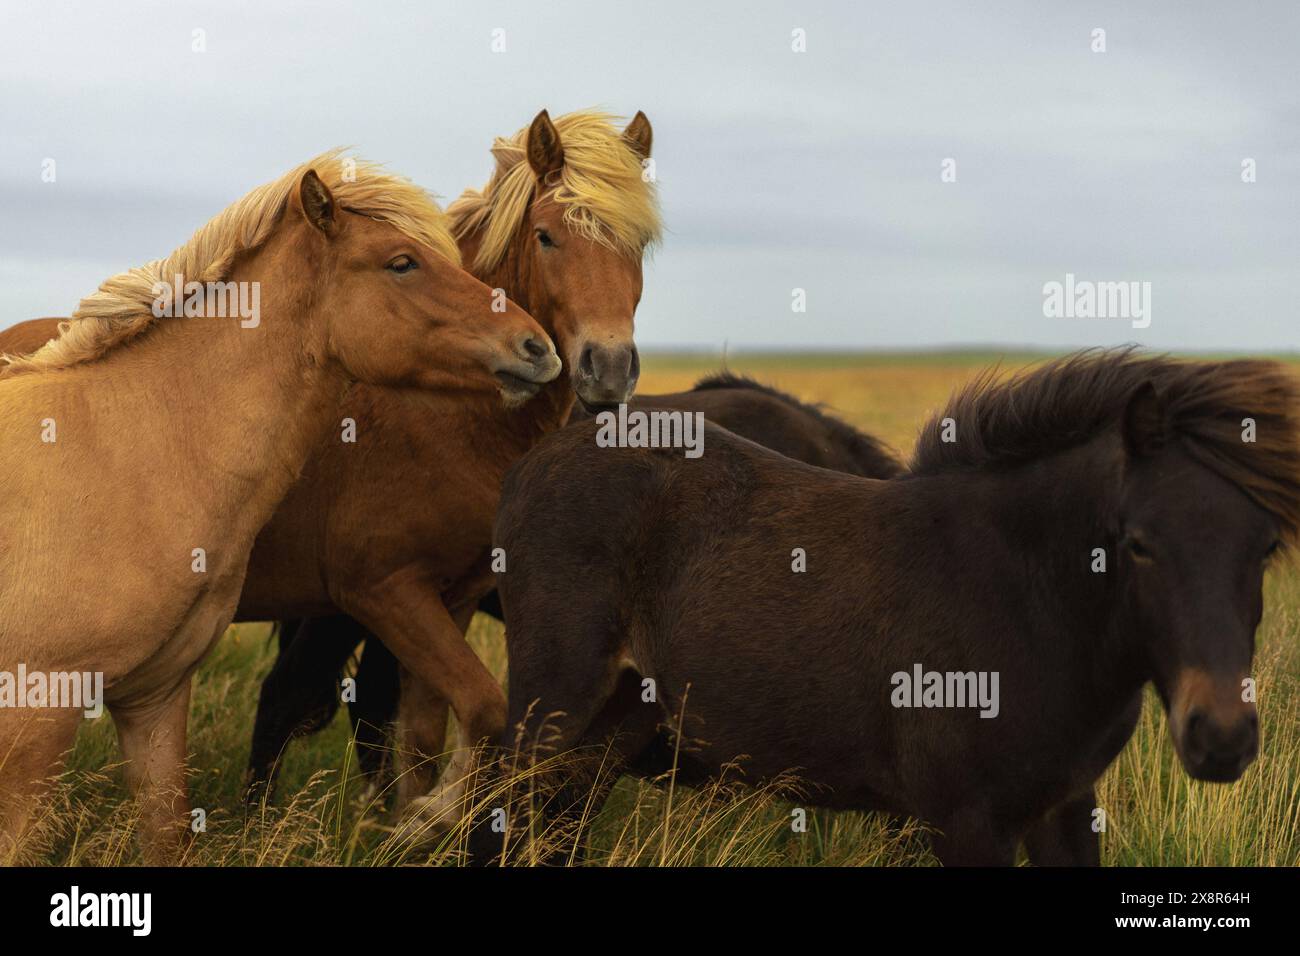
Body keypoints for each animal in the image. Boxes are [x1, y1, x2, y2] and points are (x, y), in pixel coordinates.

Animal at [0, 151, 560, 862]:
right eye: (402, 262)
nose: (537, 348)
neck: (126, 453)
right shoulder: (35, 719)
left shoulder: (155, 701)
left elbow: (167, 832)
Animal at [466, 348, 1300, 866]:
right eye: (1137, 544)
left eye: (1265, 546)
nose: (1221, 738)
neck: (1024, 596)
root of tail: (530, 464)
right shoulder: (964, 823)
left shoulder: (1065, 808)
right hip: (551, 711)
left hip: (610, 728)